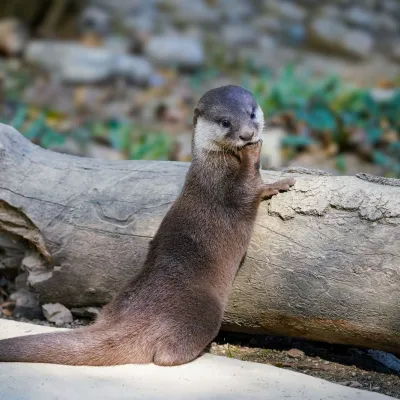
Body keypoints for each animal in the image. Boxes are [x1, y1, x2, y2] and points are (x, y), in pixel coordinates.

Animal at [0, 86, 294, 368]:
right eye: (225, 122)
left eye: (252, 113)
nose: (247, 134)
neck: (216, 163)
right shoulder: (226, 188)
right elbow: (251, 187)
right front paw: (273, 177)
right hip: (205, 310)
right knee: (166, 355)